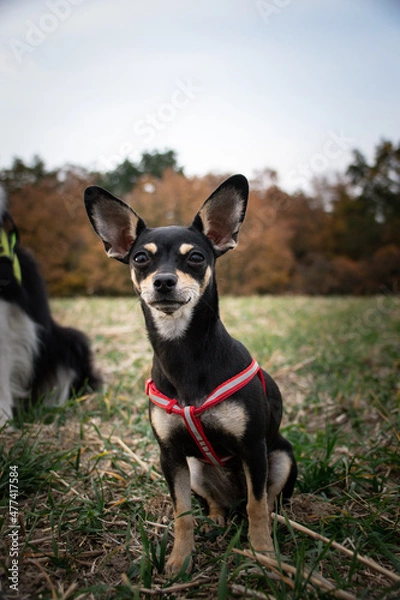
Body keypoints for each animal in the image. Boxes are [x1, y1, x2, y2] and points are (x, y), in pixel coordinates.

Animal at [84, 173, 296, 572]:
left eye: (196, 257)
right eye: (140, 258)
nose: (163, 281)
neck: (182, 352)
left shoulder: (253, 448)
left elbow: (257, 505)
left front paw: (262, 552)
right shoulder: (170, 455)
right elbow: (182, 513)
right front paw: (180, 560)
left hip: (280, 458)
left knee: (262, 501)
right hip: (197, 470)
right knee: (218, 503)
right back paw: (216, 518)